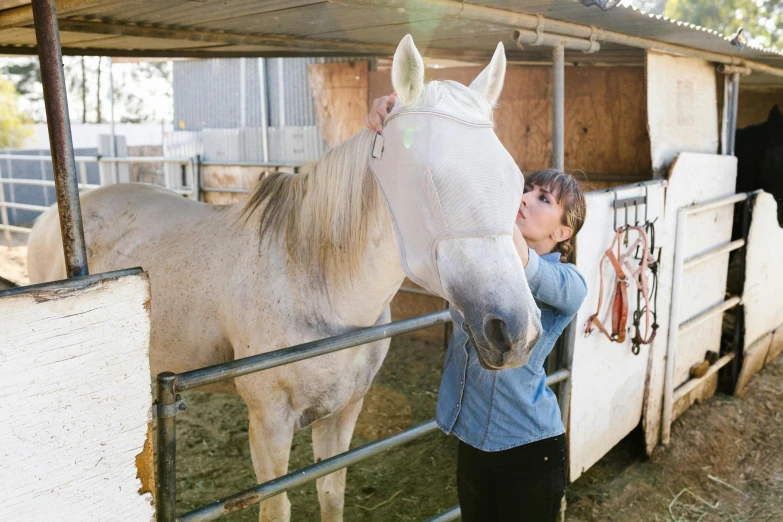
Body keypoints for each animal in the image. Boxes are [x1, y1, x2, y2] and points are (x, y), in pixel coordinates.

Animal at [27, 36, 544, 520]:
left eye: (515, 181)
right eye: (429, 180)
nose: (515, 331)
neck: (314, 276)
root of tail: (49, 221)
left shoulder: (344, 411)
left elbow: (331, 495)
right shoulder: (269, 425)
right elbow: (276, 509)